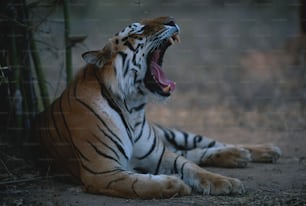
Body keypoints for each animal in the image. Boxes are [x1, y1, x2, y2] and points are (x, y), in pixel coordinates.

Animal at [32, 16, 280, 199]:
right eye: (137, 31)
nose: (172, 20)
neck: (133, 108)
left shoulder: (158, 154)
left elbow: (193, 167)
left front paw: (226, 182)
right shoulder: (103, 171)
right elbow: (140, 184)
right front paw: (176, 185)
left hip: (170, 133)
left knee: (203, 144)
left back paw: (259, 151)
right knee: (192, 152)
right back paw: (240, 155)